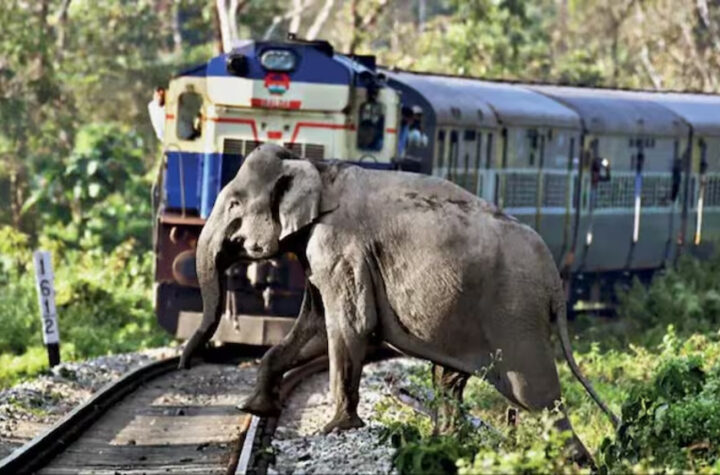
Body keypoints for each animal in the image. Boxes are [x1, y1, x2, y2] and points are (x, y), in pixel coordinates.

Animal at [179, 143, 618, 464]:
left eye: (234, 205)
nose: (184, 363)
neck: (316, 167)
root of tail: (554, 281)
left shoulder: (339, 246)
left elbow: (349, 326)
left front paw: (333, 430)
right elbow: (314, 327)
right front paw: (254, 409)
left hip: (515, 316)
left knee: (536, 395)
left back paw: (575, 461)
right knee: (449, 379)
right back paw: (447, 440)